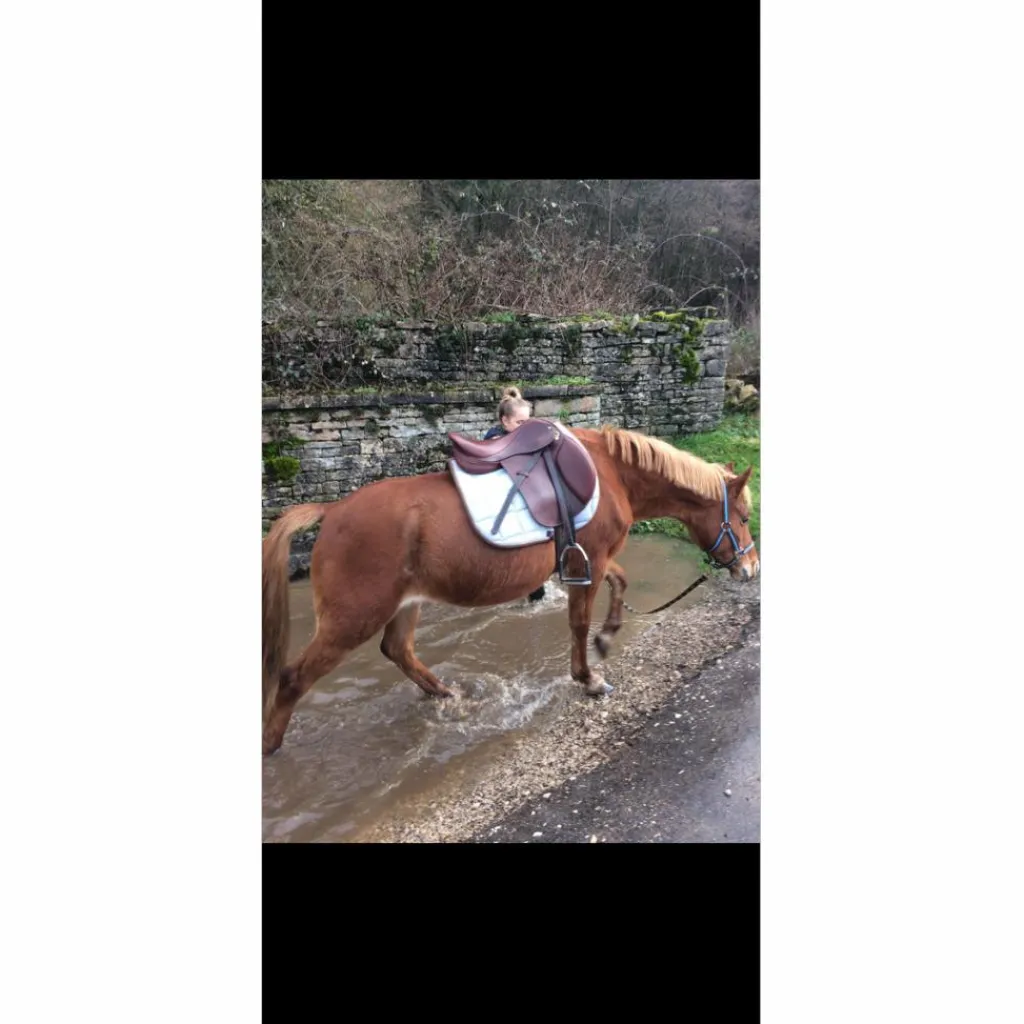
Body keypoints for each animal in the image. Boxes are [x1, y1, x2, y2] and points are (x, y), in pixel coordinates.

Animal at [262, 423, 759, 756]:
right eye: (744, 516)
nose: (751, 567)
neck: (612, 473)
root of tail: (332, 510)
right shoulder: (590, 562)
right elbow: (579, 622)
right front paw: (588, 678)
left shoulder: (591, 560)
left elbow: (620, 582)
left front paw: (608, 636)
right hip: (352, 619)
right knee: (292, 679)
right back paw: (271, 748)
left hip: (405, 605)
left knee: (398, 650)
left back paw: (448, 695)